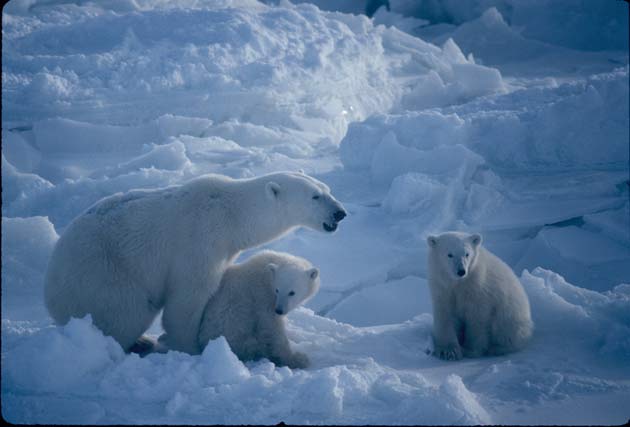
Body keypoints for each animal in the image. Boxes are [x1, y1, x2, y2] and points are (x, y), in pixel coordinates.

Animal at [45, 171, 348, 354]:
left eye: (327, 189)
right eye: (315, 196)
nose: (340, 213)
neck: (231, 214)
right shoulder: (199, 240)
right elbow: (188, 298)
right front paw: (190, 348)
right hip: (105, 274)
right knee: (126, 311)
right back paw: (137, 342)